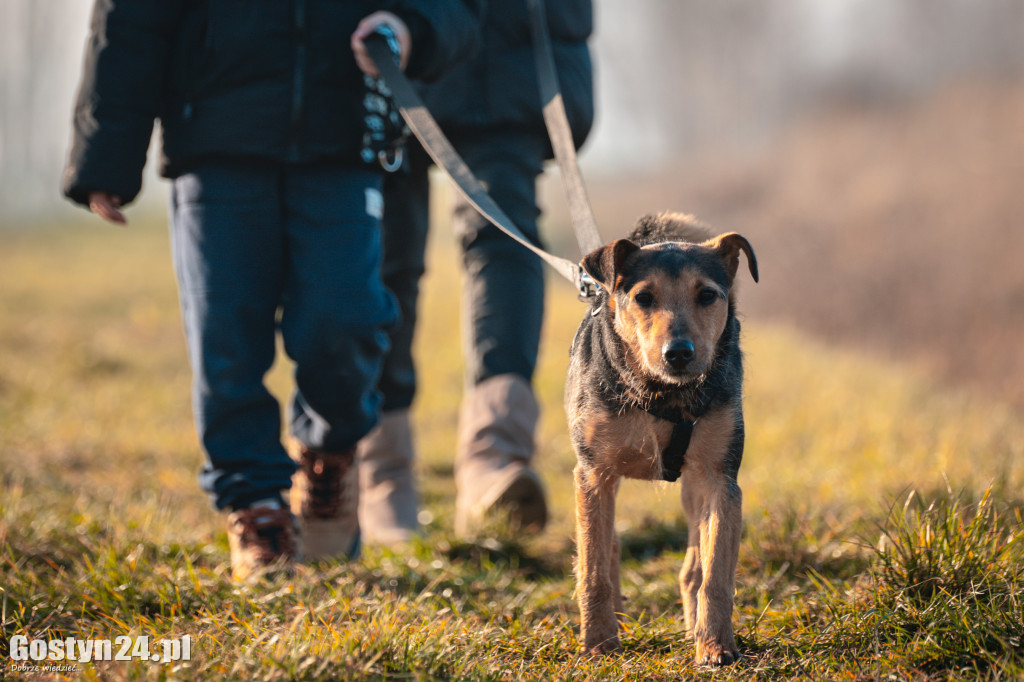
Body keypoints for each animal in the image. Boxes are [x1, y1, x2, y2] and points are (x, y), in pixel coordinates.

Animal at [569, 210, 761, 663]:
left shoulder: (720, 480)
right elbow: (594, 569)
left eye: (707, 295)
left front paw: (715, 646)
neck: (663, 393)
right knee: (609, 548)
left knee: (693, 565)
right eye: (643, 298)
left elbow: (715, 574)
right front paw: (598, 643)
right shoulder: (593, 475)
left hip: (694, 485)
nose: (678, 353)